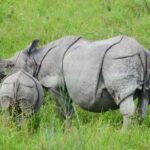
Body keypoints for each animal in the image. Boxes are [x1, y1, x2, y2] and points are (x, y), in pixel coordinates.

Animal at [0, 35, 149, 127]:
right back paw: (137, 131)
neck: (35, 58)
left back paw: (123, 133)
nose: (2, 76)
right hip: (144, 58)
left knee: (124, 96)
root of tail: (140, 50)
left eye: (11, 65)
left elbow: (63, 109)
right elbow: (67, 108)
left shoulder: (55, 85)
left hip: (119, 60)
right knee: (144, 97)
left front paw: (65, 127)